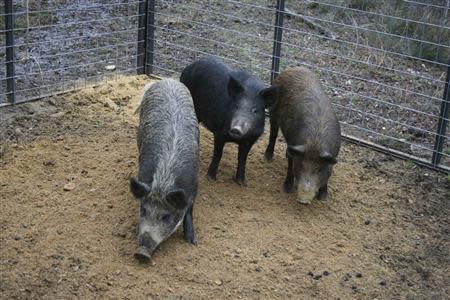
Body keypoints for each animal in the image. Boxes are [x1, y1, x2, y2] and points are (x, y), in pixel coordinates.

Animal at [179, 56, 274, 185]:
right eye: (236, 106)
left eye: (255, 110)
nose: (236, 129)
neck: (236, 139)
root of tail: (189, 66)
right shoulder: (219, 132)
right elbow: (218, 154)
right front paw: (211, 178)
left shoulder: (251, 139)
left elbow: (242, 159)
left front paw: (242, 183)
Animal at [264, 67, 342, 205]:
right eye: (301, 165)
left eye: (319, 169)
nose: (303, 200)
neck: (315, 142)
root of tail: (291, 68)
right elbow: (290, 167)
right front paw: (286, 189)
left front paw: (323, 197)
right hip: (273, 112)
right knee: (273, 133)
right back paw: (268, 157)